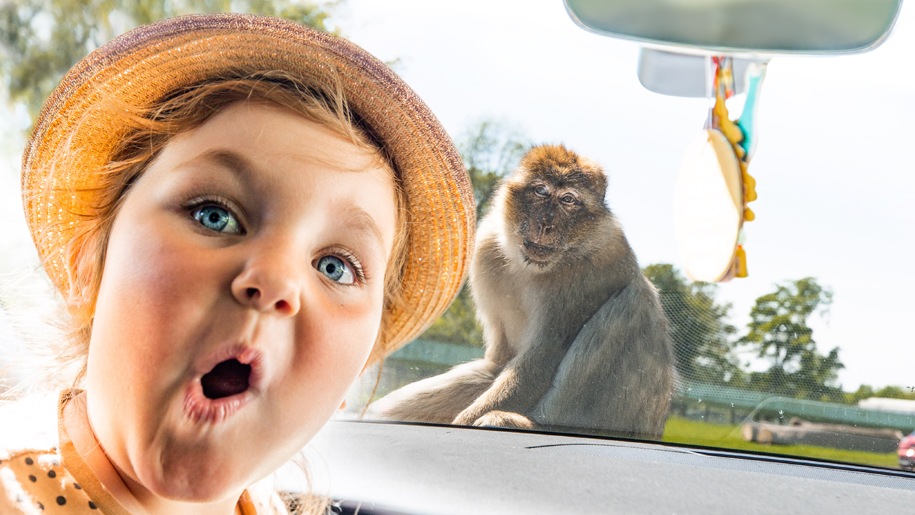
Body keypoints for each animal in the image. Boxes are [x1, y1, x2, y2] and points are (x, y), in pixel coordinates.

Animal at [368, 144, 676, 440]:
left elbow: (541, 358)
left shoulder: (583, 276)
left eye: (568, 199)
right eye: (541, 191)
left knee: (633, 304)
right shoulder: (486, 251)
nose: (546, 223)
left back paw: (532, 424)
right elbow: (498, 362)